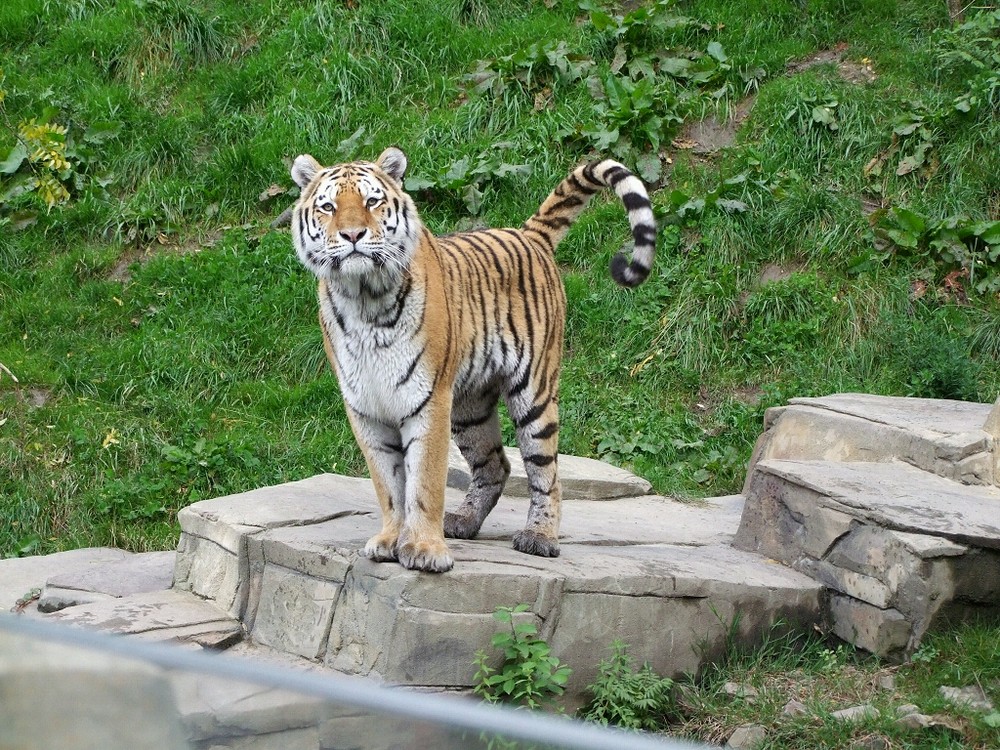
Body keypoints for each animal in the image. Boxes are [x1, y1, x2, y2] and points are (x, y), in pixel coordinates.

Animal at [288, 148, 656, 576]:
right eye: (328, 207)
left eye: (372, 201)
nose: (351, 235)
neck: (364, 298)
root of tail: (528, 234)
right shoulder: (366, 408)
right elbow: (389, 484)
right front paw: (390, 540)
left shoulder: (428, 399)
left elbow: (425, 481)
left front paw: (425, 550)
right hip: (470, 407)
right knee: (496, 465)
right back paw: (462, 520)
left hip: (534, 393)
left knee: (546, 472)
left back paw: (539, 537)